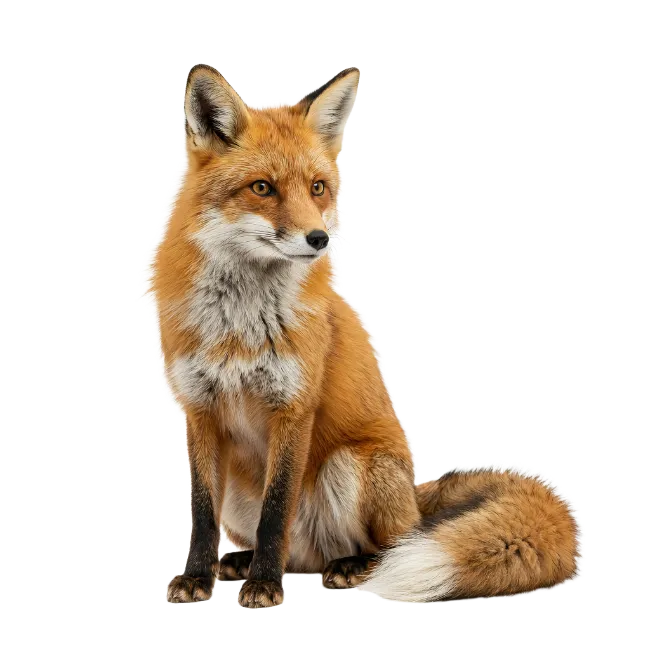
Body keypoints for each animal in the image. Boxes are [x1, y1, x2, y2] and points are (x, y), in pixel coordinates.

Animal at [153, 64, 583, 608]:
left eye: (318, 187)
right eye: (262, 188)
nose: (319, 239)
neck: (241, 324)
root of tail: (416, 501)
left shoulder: (294, 407)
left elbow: (276, 512)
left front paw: (266, 585)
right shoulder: (199, 408)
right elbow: (202, 514)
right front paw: (197, 577)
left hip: (352, 466)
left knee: (391, 546)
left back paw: (348, 567)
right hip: (244, 491)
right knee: (300, 553)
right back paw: (243, 562)